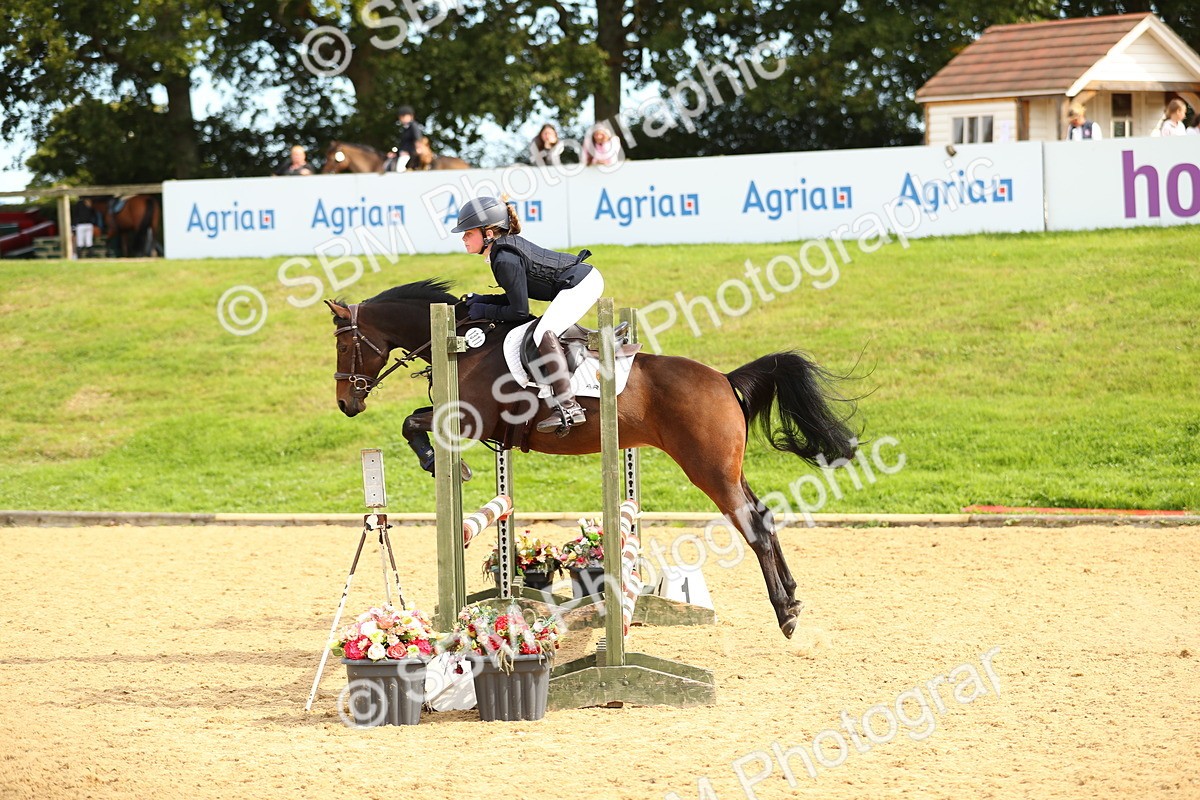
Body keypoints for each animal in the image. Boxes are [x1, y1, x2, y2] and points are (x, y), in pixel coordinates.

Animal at [326, 279, 861, 638]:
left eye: (345, 343)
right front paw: (443, 463)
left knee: (753, 527)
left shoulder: (470, 419)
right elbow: (414, 423)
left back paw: (785, 615)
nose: (346, 404)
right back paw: (793, 599)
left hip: (709, 471)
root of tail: (724, 379)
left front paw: (439, 463)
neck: (463, 345)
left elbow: (412, 424)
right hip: (729, 469)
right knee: (764, 517)